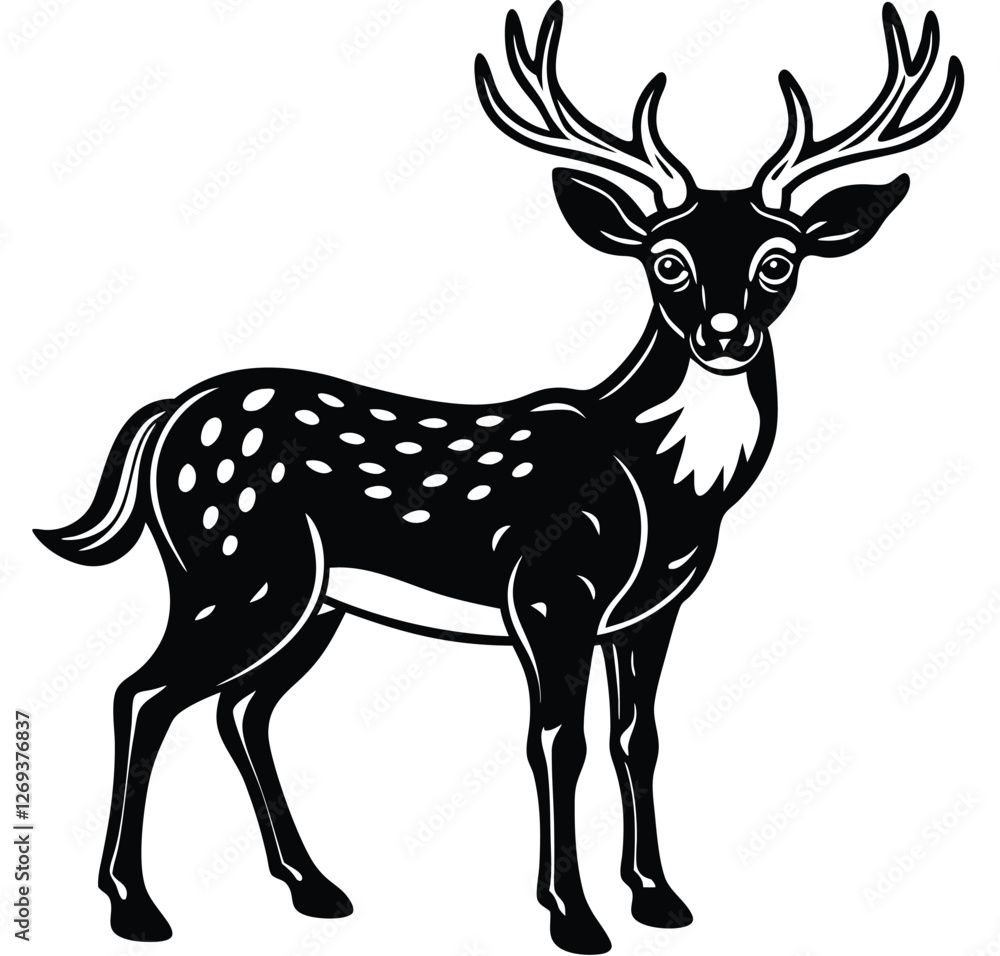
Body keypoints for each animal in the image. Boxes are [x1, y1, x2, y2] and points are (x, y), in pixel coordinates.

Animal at [34, 3, 962, 953]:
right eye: (665, 259)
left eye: (782, 258)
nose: (725, 334)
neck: (667, 487)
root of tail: (165, 416)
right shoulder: (552, 589)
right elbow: (558, 741)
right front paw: (575, 916)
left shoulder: (653, 608)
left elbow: (638, 738)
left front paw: (659, 897)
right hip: (236, 564)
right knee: (144, 693)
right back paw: (135, 904)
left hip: (309, 598)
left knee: (240, 710)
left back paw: (313, 887)